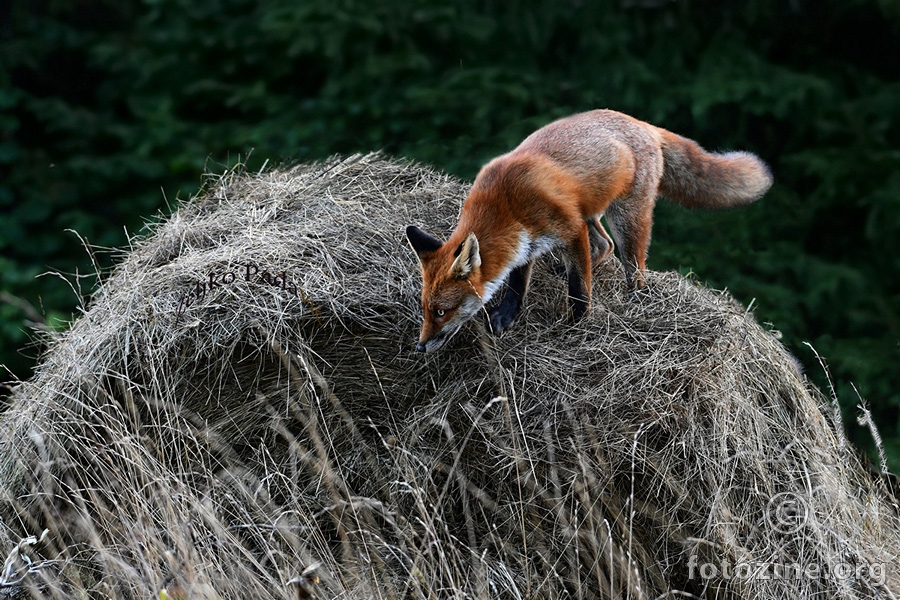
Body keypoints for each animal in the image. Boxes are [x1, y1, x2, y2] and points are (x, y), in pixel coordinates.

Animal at [404, 109, 768, 352]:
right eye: (424, 308)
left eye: (441, 311)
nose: (419, 347)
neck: (504, 202)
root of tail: (642, 123)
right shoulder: (526, 243)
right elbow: (517, 283)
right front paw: (507, 315)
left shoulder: (570, 229)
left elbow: (579, 289)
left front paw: (577, 326)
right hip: (592, 211)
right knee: (603, 245)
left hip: (626, 221)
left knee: (633, 266)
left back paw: (635, 300)